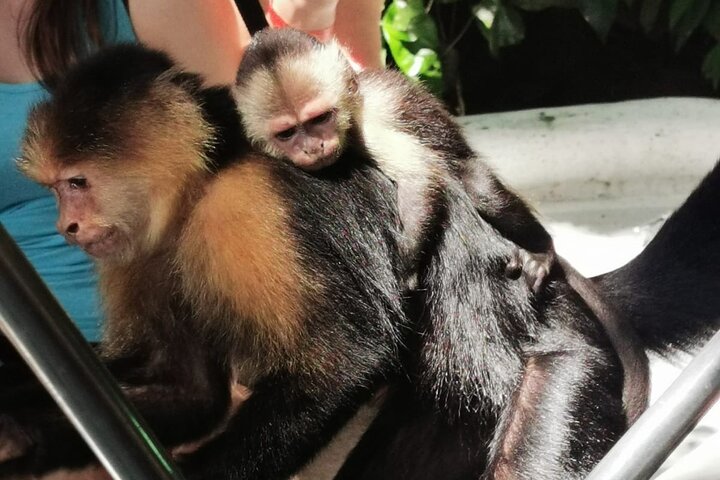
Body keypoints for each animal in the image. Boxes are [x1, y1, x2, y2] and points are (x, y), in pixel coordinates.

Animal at [234, 28, 554, 293]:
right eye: (287, 133)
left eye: (320, 118)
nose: (313, 147)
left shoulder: (367, 126)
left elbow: (420, 176)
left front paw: (405, 268)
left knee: (481, 191)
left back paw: (543, 250)